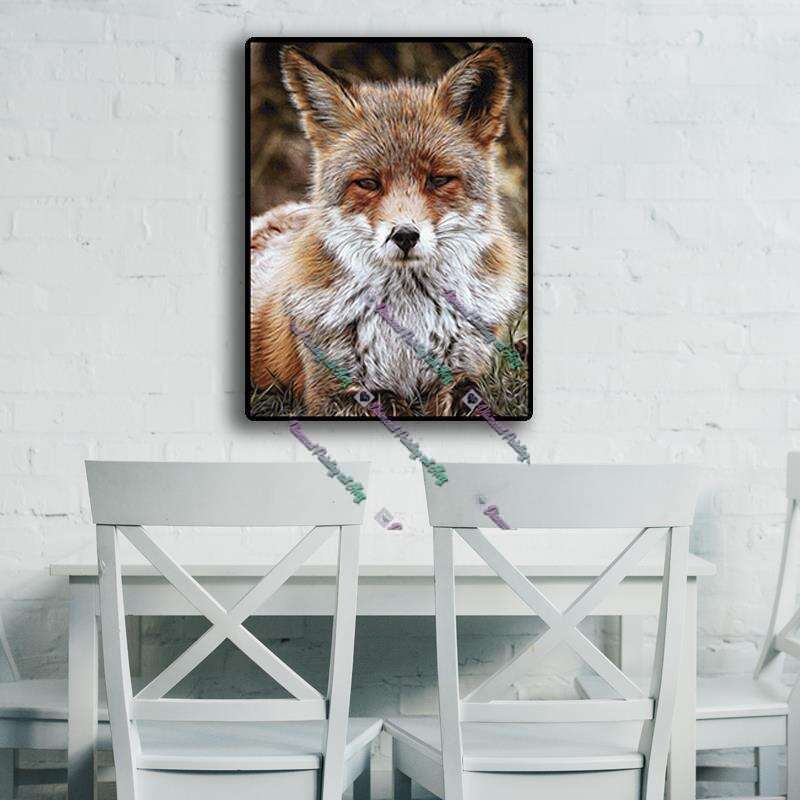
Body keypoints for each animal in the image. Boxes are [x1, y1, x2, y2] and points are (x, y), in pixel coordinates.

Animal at [250, 44, 525, 416]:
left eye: (439, 180)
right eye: (368, 183)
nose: (405, 235)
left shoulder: (466, 370)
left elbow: (468, 395)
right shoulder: (328, 391)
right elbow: (388, 402)